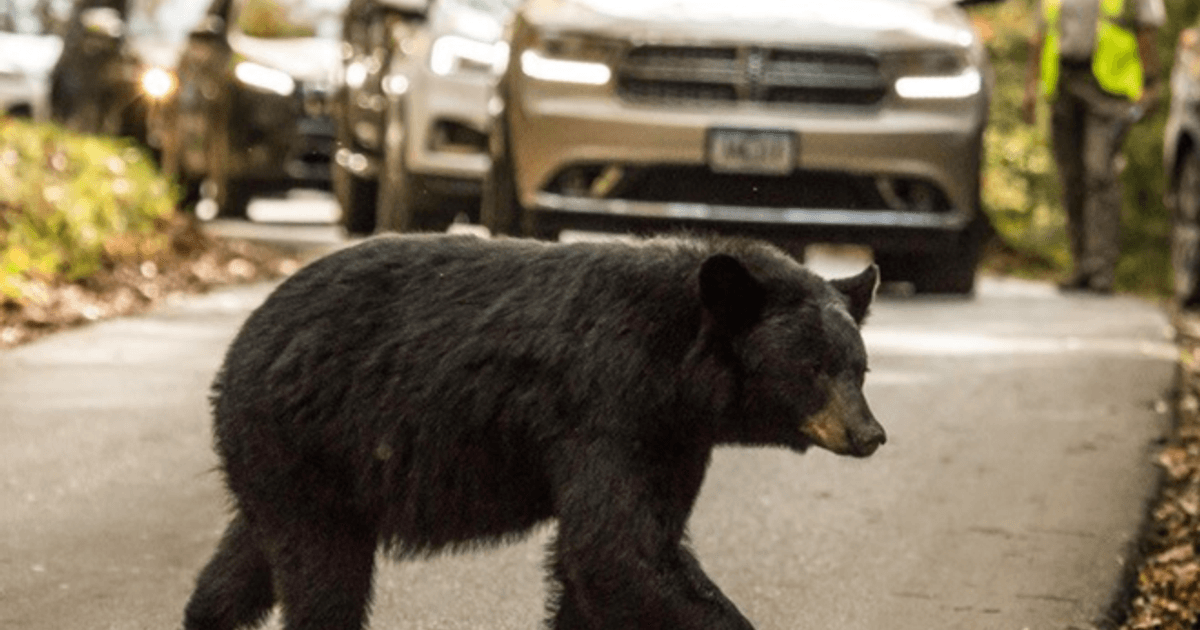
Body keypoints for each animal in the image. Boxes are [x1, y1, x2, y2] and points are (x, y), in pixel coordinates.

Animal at [182, 232, 886, 630]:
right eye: (812, 367)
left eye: (859, 367)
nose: (870, 434)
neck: (676, 365)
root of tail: (239, 345)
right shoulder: (606, 407)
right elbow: (614, 548)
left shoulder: (673, 439)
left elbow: (615, 553)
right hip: (306, 441)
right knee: (323, 578)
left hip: (292, 465)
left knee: (247, 561)